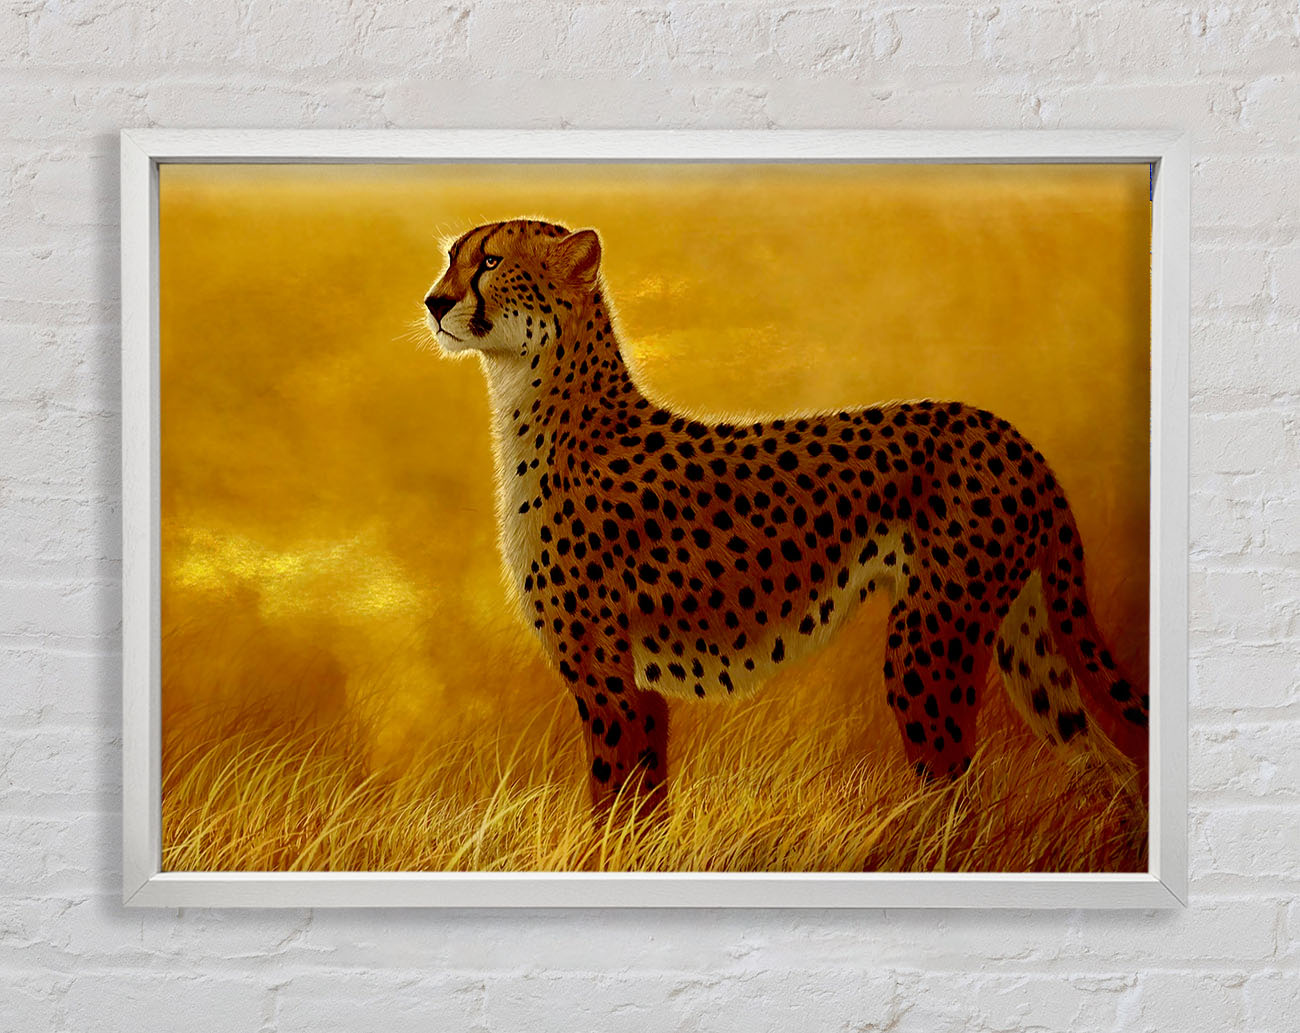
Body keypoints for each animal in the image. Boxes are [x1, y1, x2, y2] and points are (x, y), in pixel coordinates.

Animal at [422, 218, 1149, 816]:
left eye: (490, 261)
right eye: (453, 258)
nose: (433, 302)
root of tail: (1007, 432)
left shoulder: (606, 683)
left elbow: (610, 808)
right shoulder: (640, 688)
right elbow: (643, 809)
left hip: (928, 641)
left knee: (955, 787)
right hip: (1022, 637)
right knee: (1108, 764)